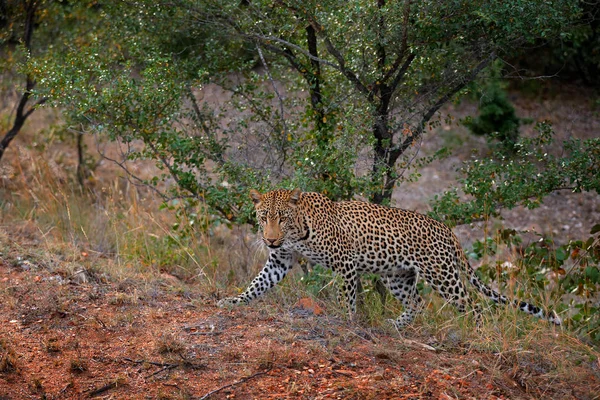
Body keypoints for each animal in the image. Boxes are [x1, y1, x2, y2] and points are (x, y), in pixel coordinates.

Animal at [217, 188, 564, 328]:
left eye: (283, 219)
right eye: (263, 217)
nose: (270, 239)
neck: (298, 232)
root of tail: (448, 230)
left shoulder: (345, 264)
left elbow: (347, 297)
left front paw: (346, 320)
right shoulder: (280, 261)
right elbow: (257, 284)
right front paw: (233, 301)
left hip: (442, 275)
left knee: (473, 305)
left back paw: (479, 335)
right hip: (396, 275)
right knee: (416, 303)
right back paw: (397, 325)